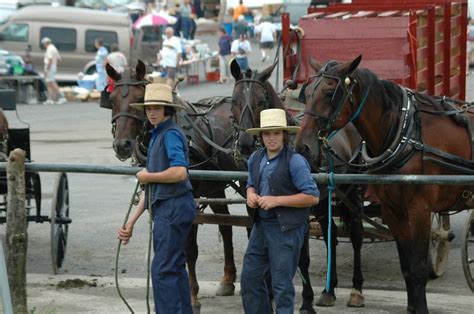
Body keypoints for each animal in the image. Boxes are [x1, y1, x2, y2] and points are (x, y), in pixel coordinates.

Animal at [231, 60, 368, 310]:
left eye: (261, 101)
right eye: (234, 100)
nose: (245, 144)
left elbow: (302, 258)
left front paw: (306, 301)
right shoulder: (253, 207)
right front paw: (269, 294)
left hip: (352, 192)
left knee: (356, 235)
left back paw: (356, 289)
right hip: (322, 202)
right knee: (331, 235)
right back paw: (329, 289)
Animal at [298, 55, 472, 312]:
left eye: (330, 94)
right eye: (307, 93)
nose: (303, 146)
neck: (404, 133)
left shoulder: (420, 210)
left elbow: (418, 268)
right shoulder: (394, 211)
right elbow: (407, 267)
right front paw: (412, 307)